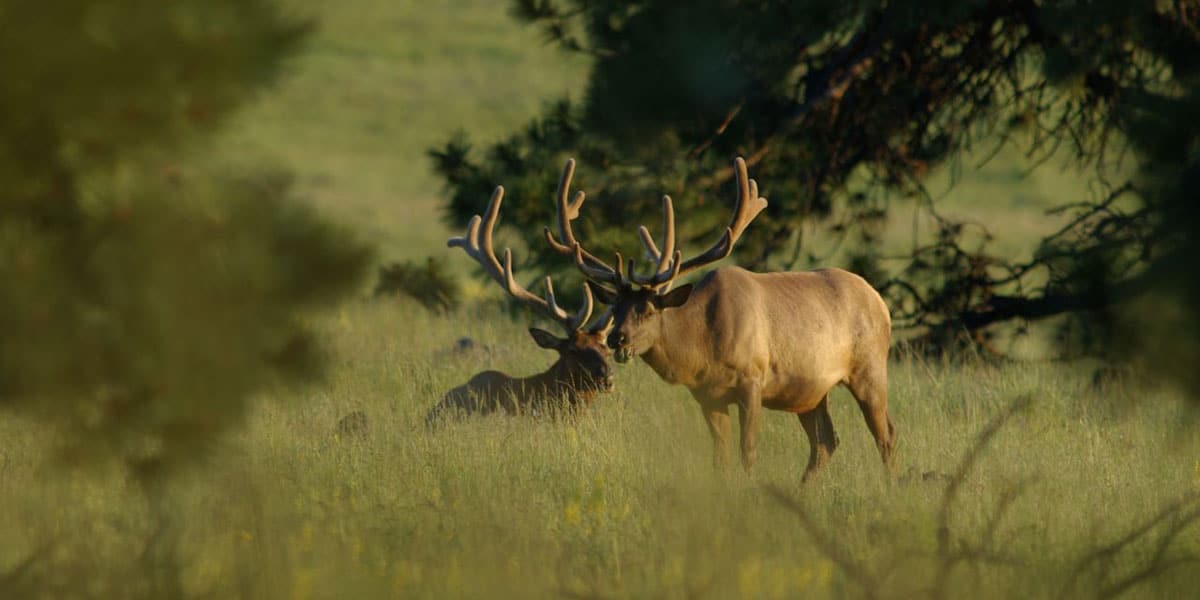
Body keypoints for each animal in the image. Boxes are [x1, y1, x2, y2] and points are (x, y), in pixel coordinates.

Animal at [545, 156, 895, 481]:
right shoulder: (707, 395)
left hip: (869, 368)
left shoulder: (752, 378)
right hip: (810, 391)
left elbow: (747, 451)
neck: (703, 344)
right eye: (615, 308)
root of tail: (880, 302)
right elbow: (721, 456)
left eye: (647, 310)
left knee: (886, 435)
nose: (616, 338)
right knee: (825, 442)